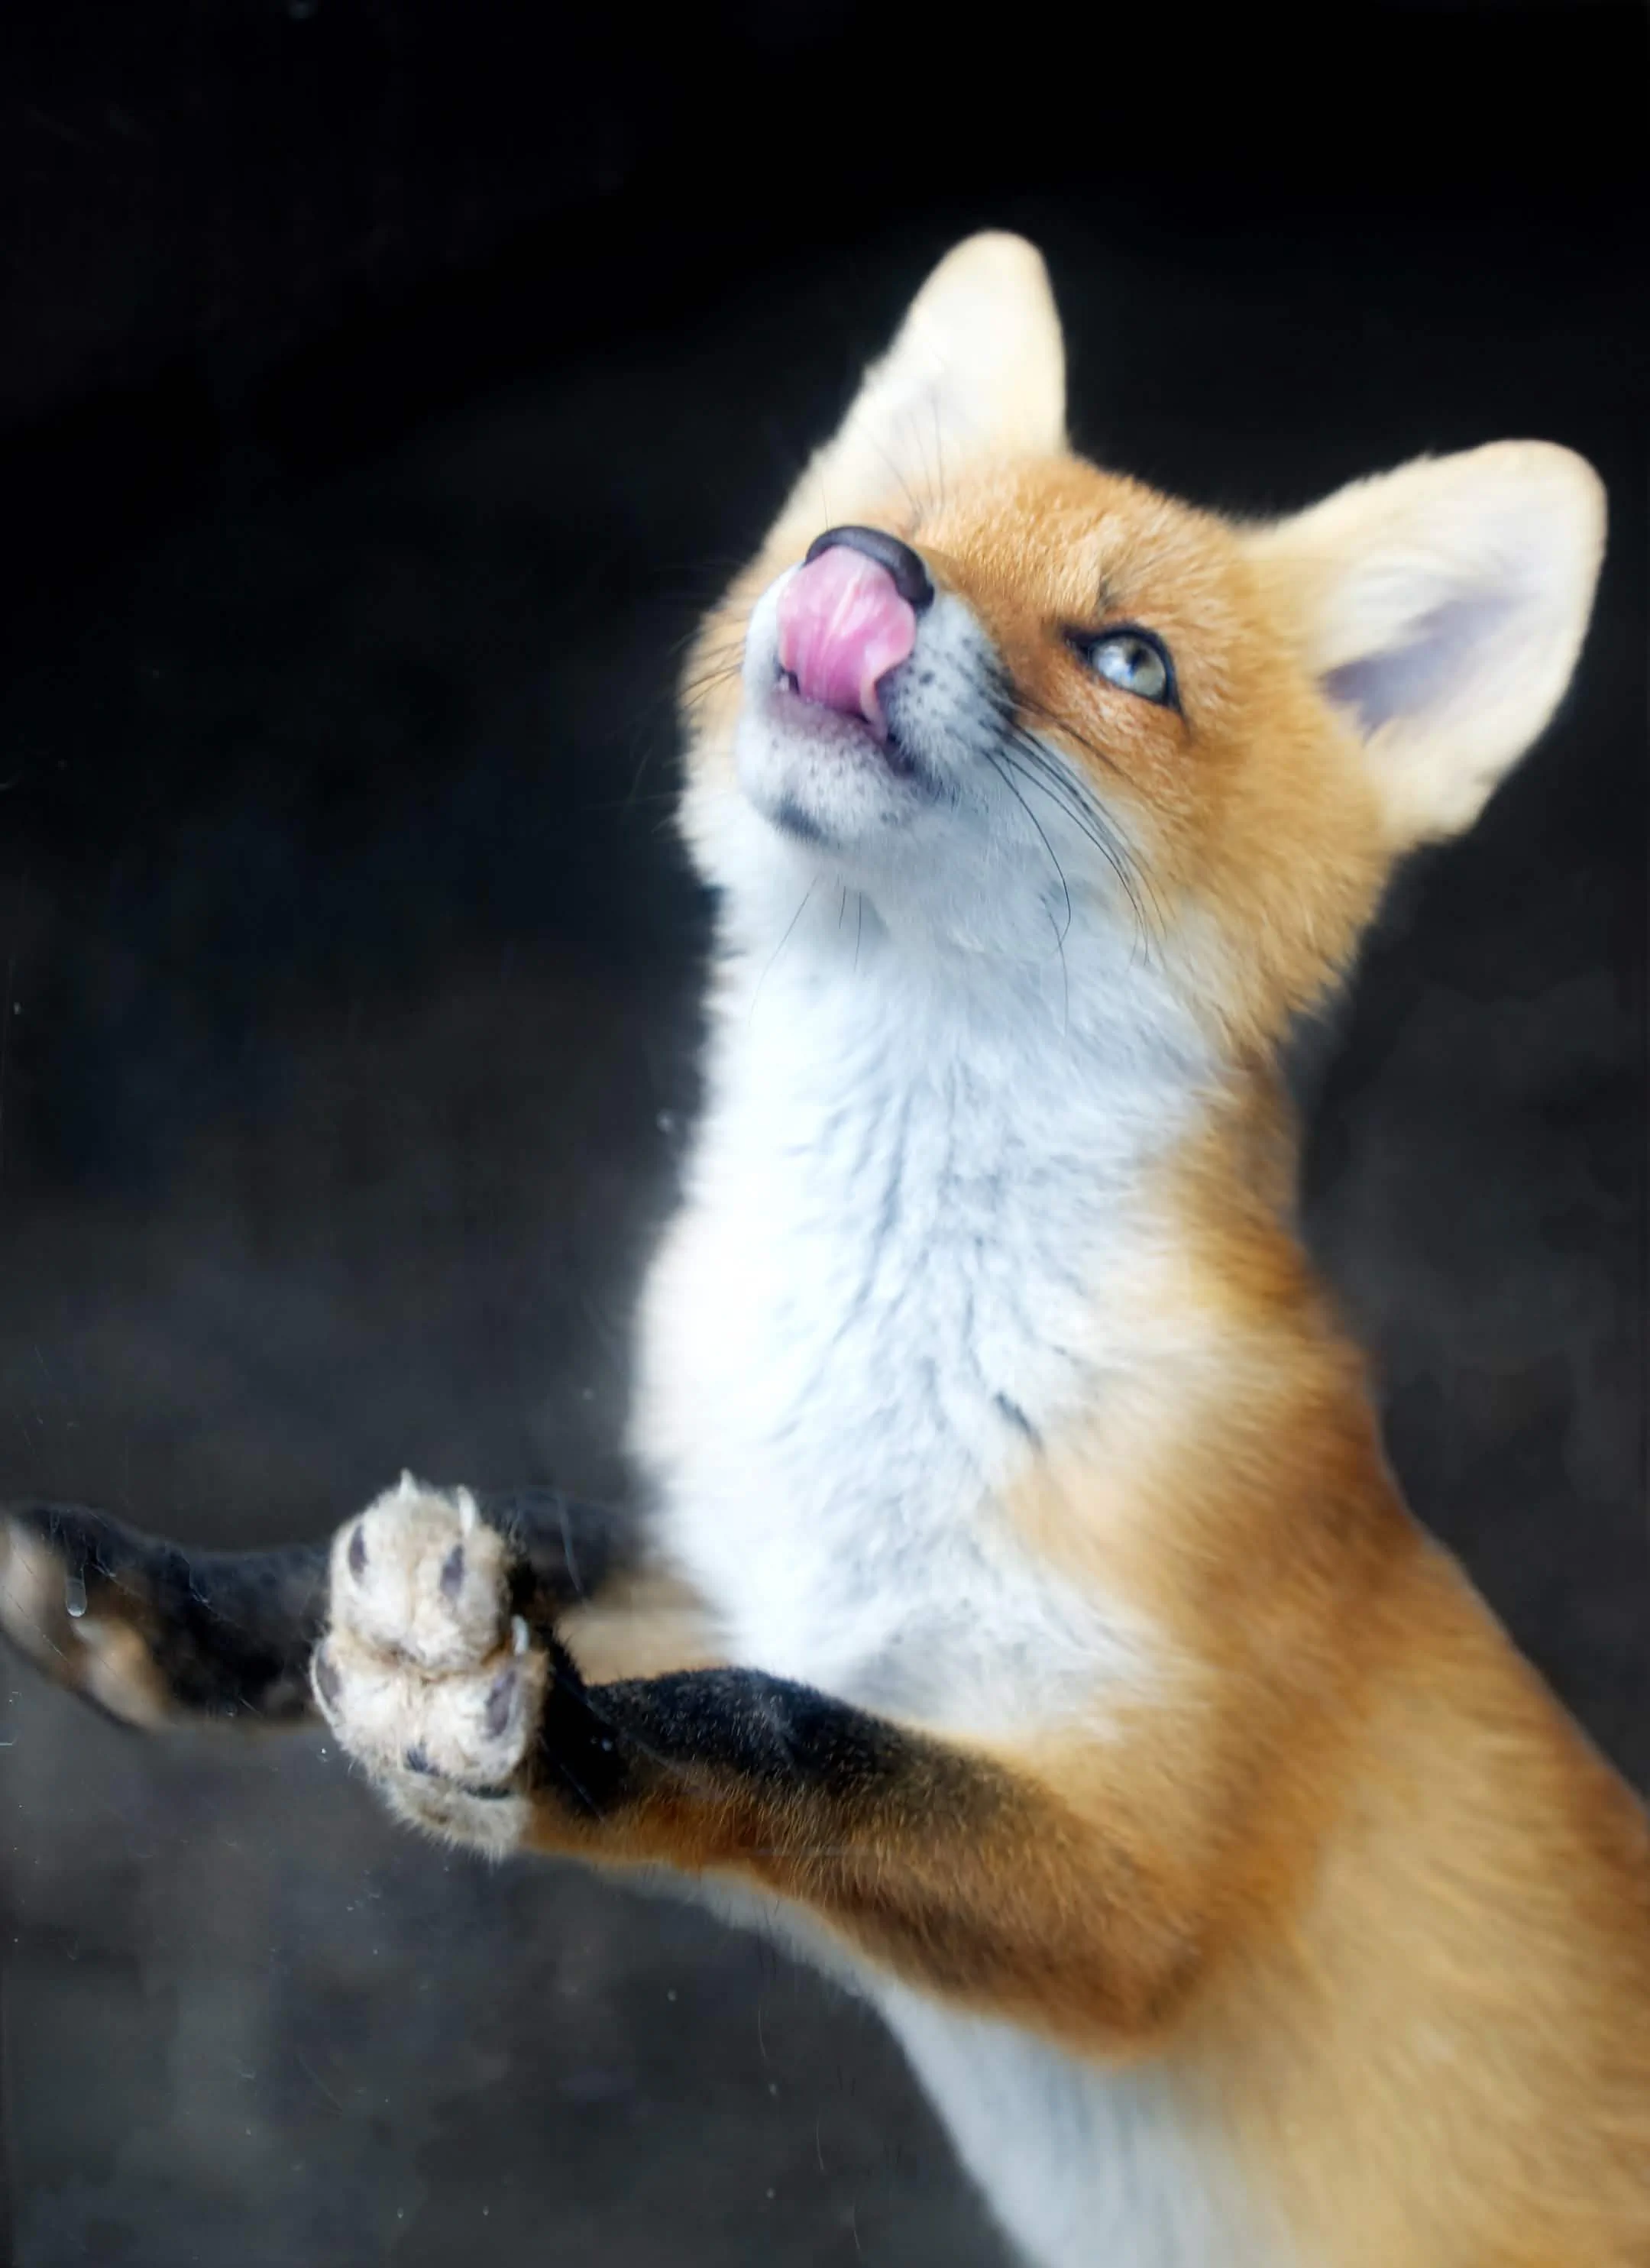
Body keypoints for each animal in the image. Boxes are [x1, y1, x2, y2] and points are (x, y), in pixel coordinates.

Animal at [3, 232, 1647, 2267]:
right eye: (884, 524)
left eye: (1130, 658)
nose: (861, 569)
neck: (889, 1368)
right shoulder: (768, 1570)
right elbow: (527, 1553)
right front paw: (165, 1605)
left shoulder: (1140, 1890)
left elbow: (776, 1735)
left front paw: (523, 1745)